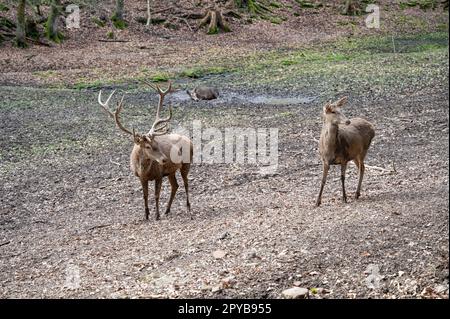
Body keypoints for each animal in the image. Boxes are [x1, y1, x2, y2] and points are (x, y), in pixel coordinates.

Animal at [98, 82, 193, 221]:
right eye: (147, 146)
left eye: (156, 143)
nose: (164, 159)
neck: (145, 171)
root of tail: (190, 140)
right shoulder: (141, 177)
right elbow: (145, 196)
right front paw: (146, 215)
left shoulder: (159, 174)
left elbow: (156, 195)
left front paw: (157, 215)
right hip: (171, 171)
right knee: (175, 185)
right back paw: (167, 210)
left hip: (186, 163)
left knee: (185, 183)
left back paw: (188, 208)